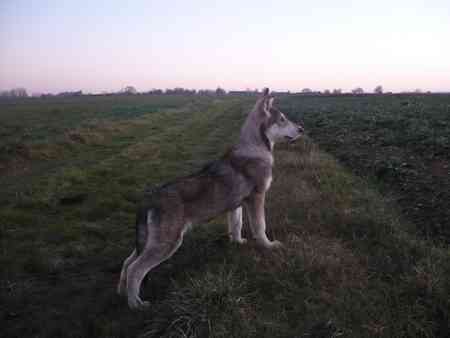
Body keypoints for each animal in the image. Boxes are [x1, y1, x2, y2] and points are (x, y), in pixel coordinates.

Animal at [118, 88, 304, 308]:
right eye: (282, 119)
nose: (302, 129)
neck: (255, 149)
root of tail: (149, 199)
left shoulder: (237, 205)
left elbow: (236, 226)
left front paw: (238, 242)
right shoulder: (257, 198)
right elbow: (260, 227)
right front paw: (268, 246)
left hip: (149, 242)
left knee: (126, 262)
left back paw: (121, 293)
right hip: (166, 244)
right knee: (135, 270)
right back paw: (136, 304)